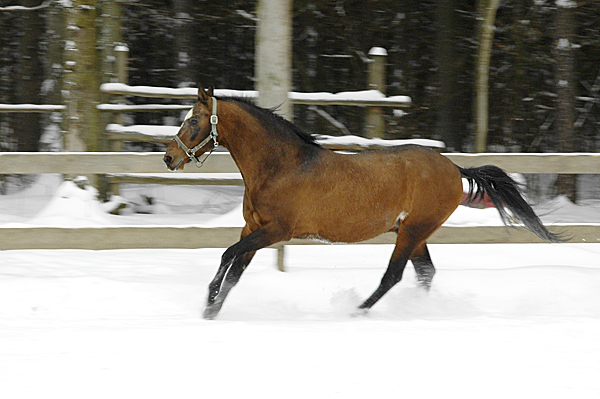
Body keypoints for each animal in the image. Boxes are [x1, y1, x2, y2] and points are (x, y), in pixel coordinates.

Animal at [163, 86, 564, 320]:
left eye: (194, 121)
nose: (168, 158)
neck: (282, 166)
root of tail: (453, 167)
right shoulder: (254, 227)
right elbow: (234, 269)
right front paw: (212, 310)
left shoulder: (277, 230)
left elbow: (228, 255)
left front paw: (209, 301)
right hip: (415, 233)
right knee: (425, 273)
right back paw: (415, 310)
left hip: (413, 230)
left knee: (394, 274)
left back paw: (357, 311)